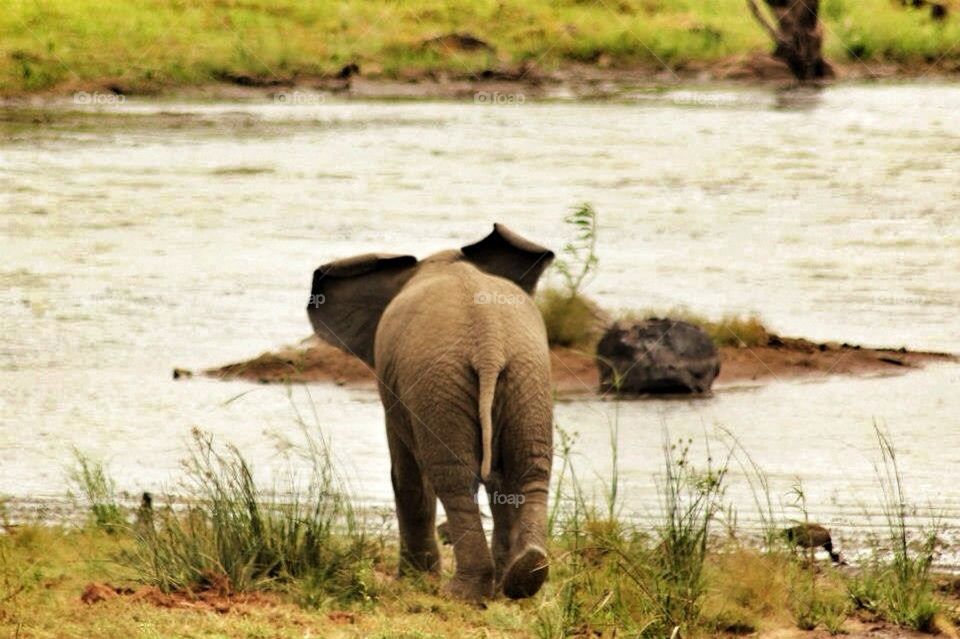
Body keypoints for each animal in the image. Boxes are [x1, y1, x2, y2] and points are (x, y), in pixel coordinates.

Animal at [306, 223, 555, 601]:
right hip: (526, 375)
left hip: (442, 383)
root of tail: (489, 344)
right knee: (529, 468)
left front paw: (413, 581)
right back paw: (521, 577)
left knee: (452, 478)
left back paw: (463, 593)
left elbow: (406, 473)